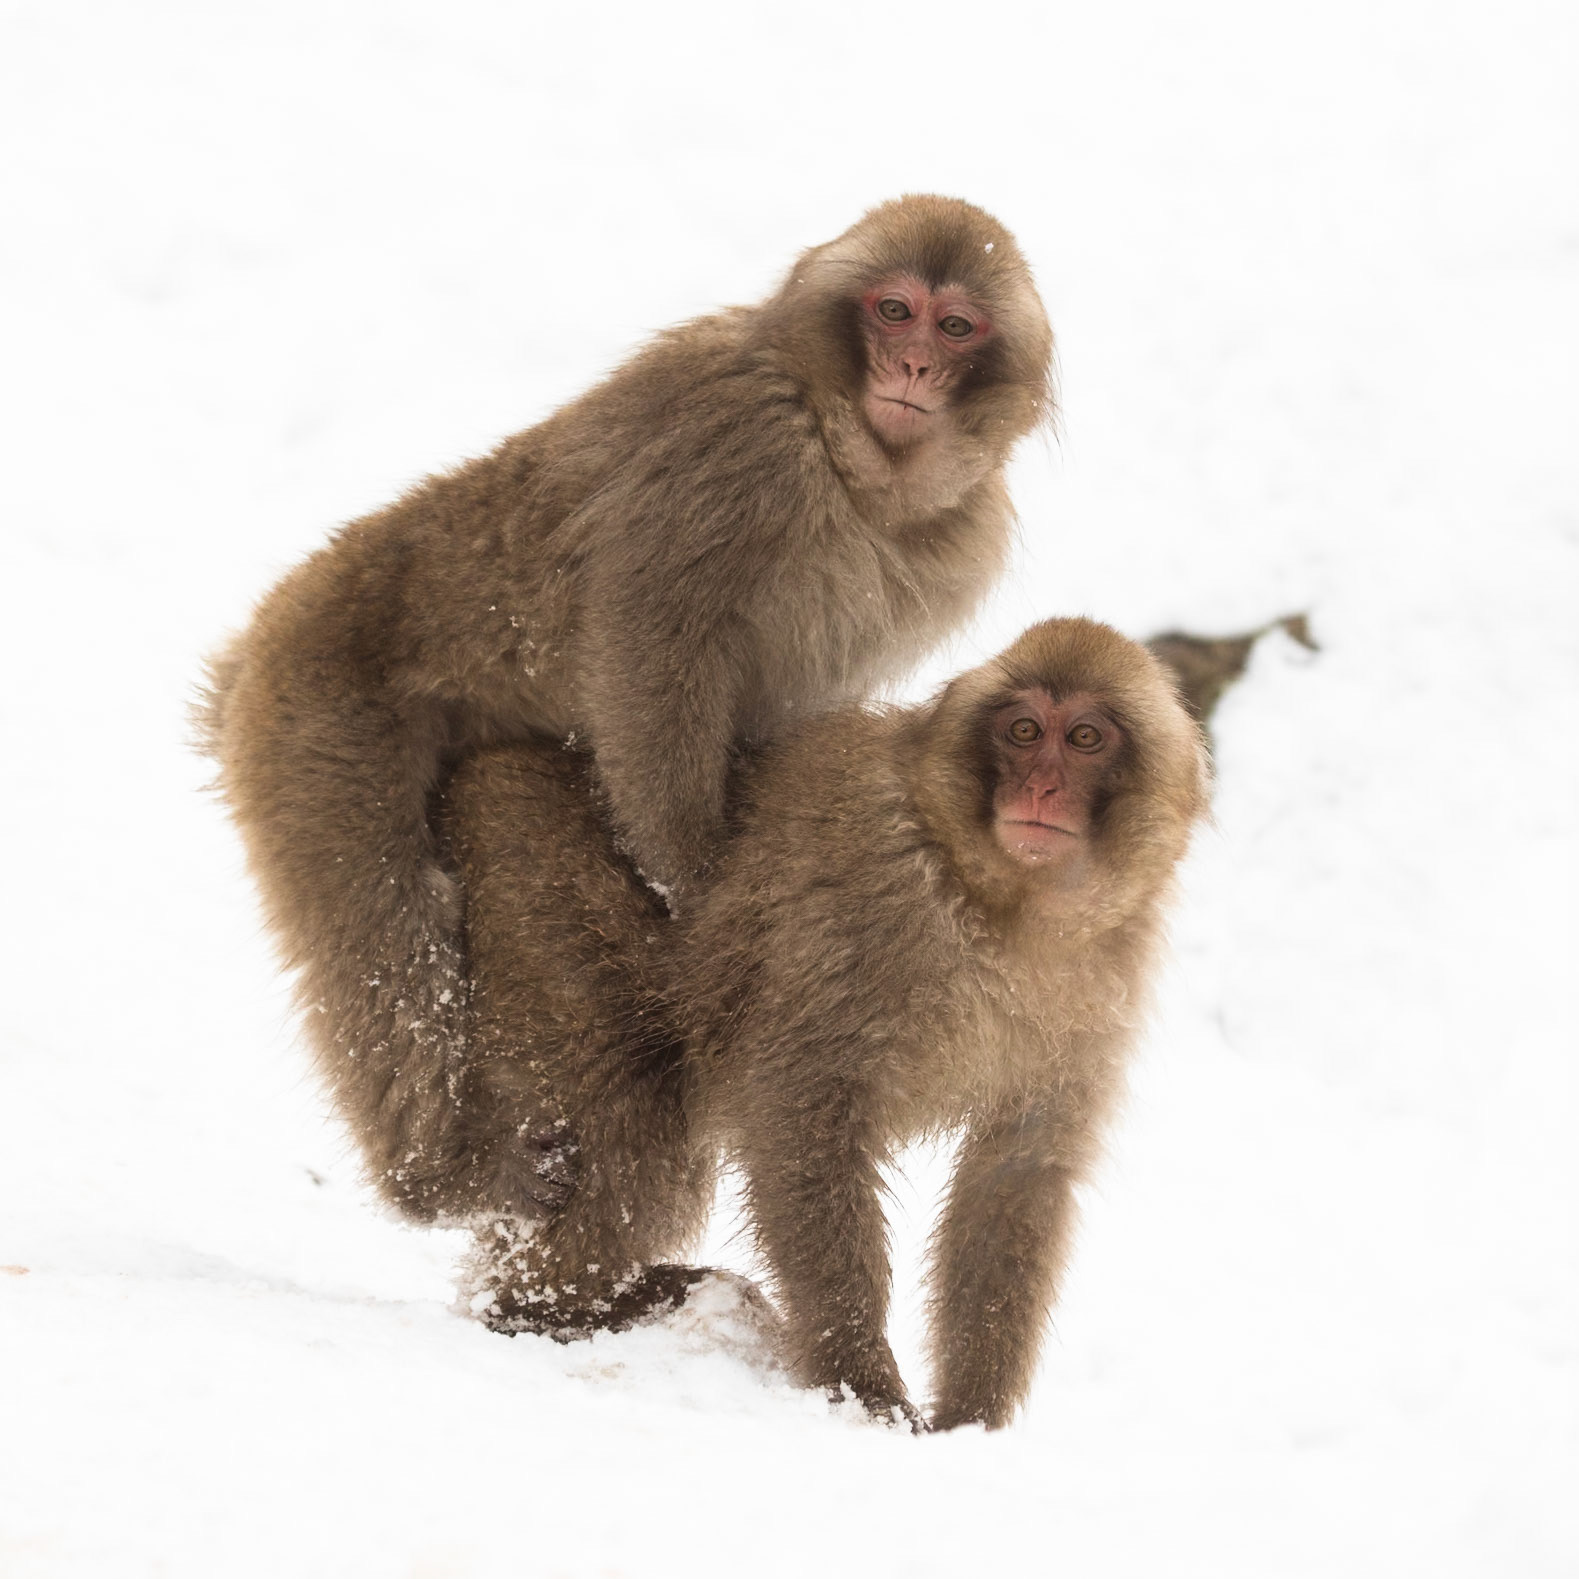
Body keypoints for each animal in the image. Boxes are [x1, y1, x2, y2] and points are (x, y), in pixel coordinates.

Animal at [196, 197, 1053, 1223]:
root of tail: (259, 646)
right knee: (391, 940)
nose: (915, 367)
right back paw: (439, 1176)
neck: (847, 464)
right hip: (314, 715)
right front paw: (699, 887)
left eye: (955, 326)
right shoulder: (733, 440)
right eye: (894, 311)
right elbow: (651, 655)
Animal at [443, 618, 1209, 1429]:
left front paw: (971, 1421)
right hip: (529, 869)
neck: (1000, 905)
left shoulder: (1101, 980)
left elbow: (1016, 1167)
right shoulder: (869, 899)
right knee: (644, 1119)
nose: (1041, 787)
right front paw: (863, 1385)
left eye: (1086, 737)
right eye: (1025, 730)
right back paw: (537, 1310)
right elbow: (796, 1102)